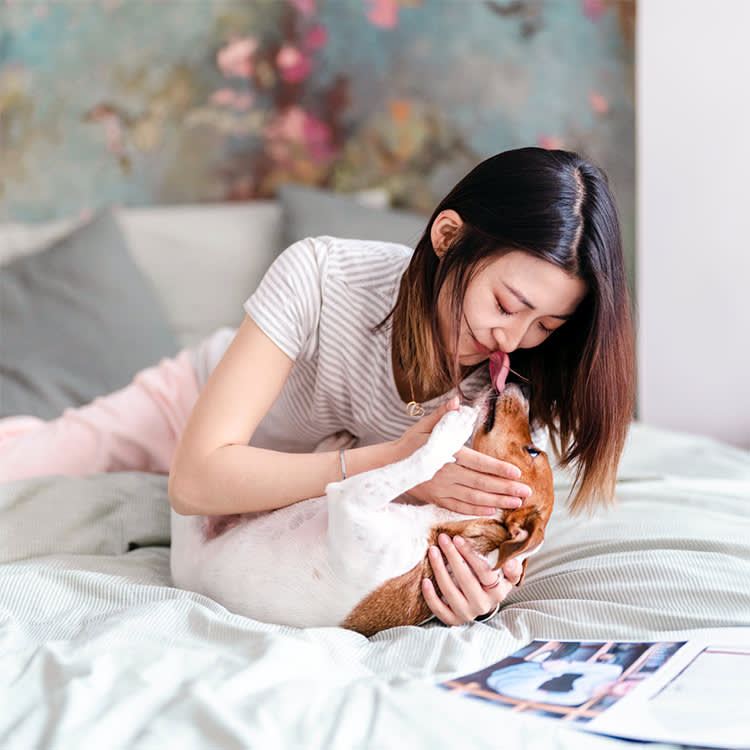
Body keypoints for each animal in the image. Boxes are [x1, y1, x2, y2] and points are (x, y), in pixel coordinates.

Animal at [172, 384, 560, 636]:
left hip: (190, 514)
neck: (436, 533)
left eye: (533, 450)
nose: (526, 389)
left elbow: (418, 463)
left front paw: (454, 427)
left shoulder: (351, 499)